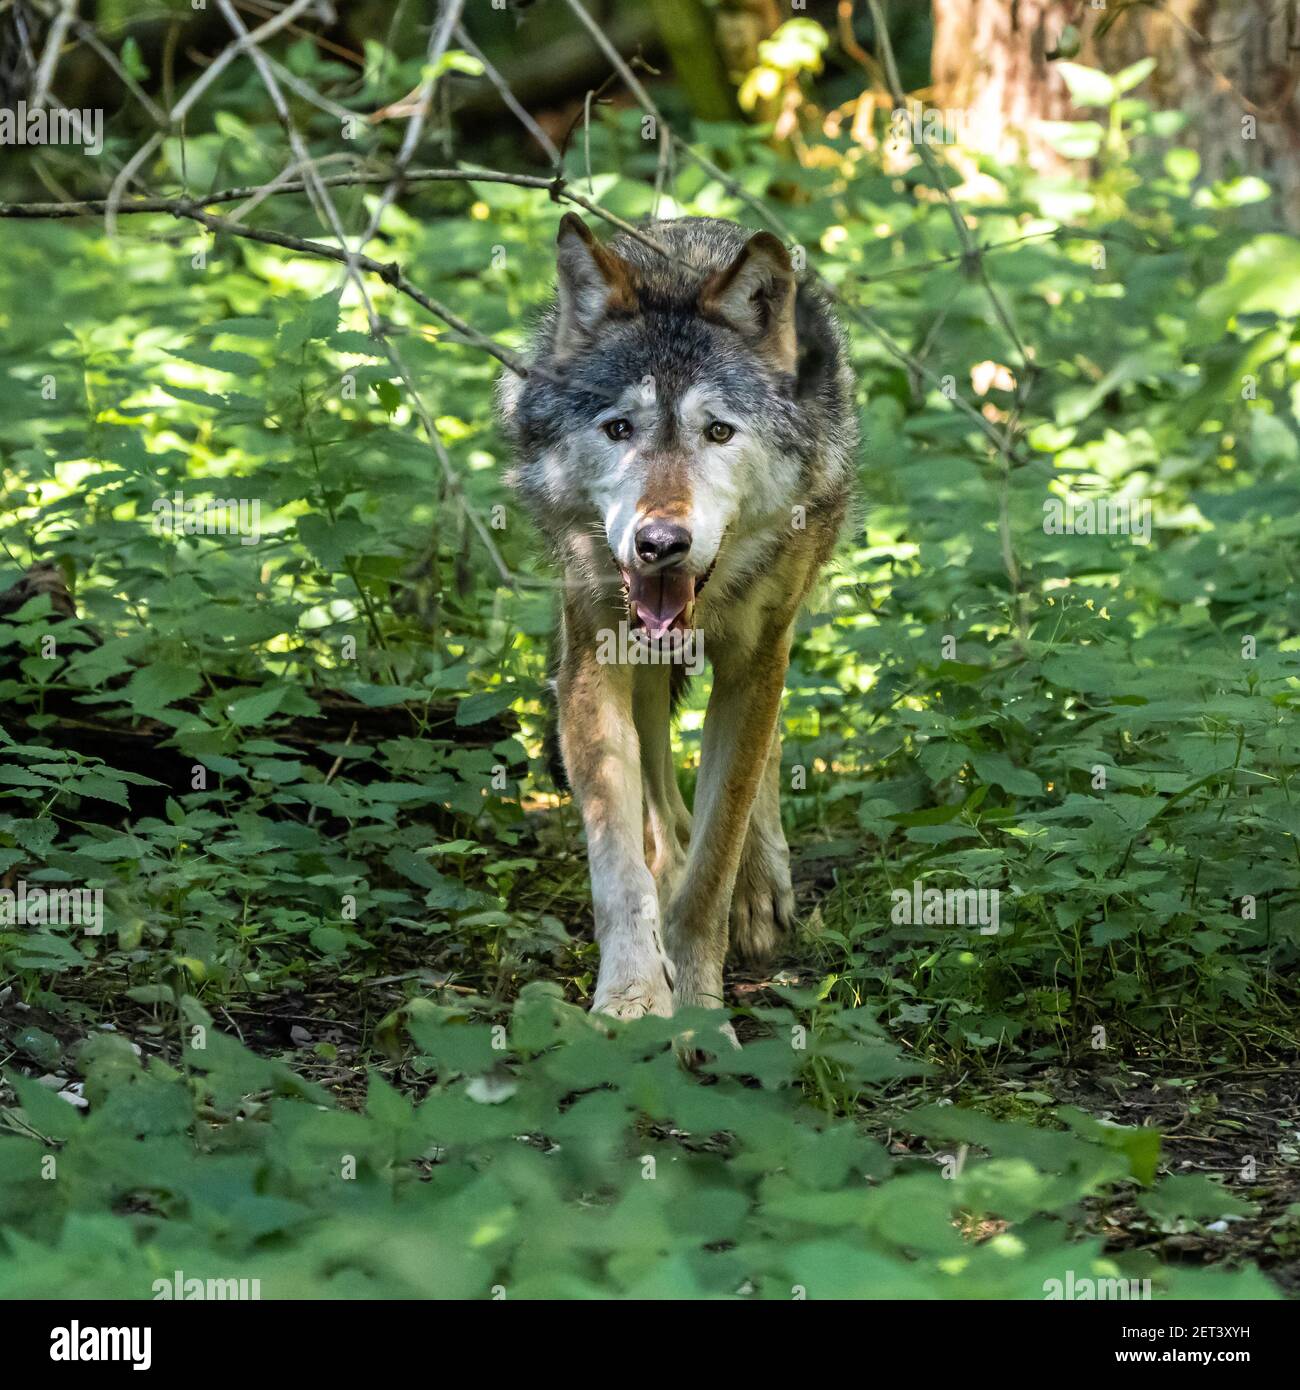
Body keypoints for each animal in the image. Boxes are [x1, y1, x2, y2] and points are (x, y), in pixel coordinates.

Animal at [499, 213, 856, 1029]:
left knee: (759, 766)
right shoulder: (594, 661)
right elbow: (620, 864)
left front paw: (699, 1012)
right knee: (660, 803)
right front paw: (633, 999)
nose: (661, 544)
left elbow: (714, 865)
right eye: (618, 428)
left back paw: (761, 890)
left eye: (718, 432)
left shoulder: (756, 660)